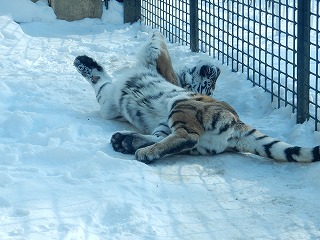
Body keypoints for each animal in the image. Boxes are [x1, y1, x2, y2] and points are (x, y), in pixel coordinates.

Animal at [74, 32, 318, 163]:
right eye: (211, 82)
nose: (215, 70)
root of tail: (237, 123)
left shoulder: (157, 66)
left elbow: (156, 43)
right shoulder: (110, 103)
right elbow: (101, 84)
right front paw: (84, 64)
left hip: (180, 106)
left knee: (187, 136)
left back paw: (141, 151)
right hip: (174, 128)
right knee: (171, 139)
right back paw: (126, 141)